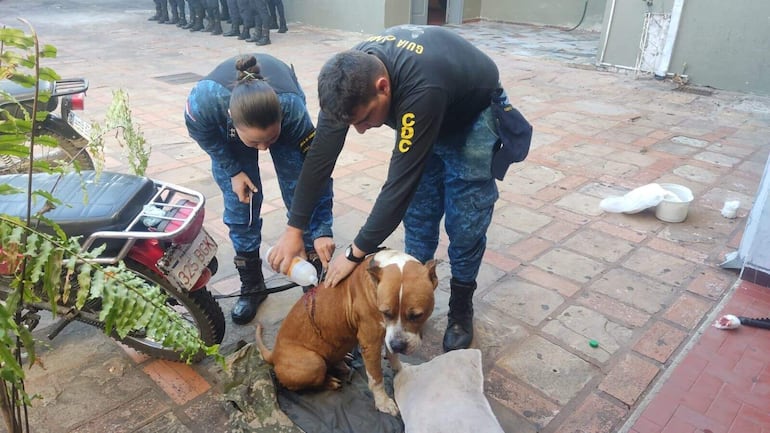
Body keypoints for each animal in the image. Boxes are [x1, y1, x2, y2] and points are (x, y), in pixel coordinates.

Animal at [255, 250, 436, 416]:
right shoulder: (371, 343)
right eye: (385, 312)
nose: (398, 345)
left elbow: (392, 355)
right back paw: (329, 381)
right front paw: (383, 402)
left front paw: (399, 368)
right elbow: (376, 378)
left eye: (417, 315)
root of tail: (274, 353)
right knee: (298, 385)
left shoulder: (388, 334)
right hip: (313, 362)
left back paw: (342, 362)